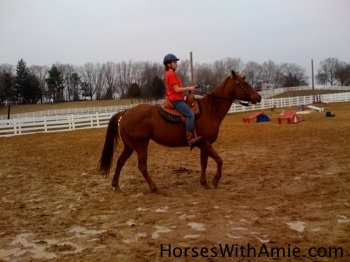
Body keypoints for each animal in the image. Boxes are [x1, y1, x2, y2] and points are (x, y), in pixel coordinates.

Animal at [98, 69, 260, 192]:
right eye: (244, 83)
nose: (258, 97)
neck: (210, 109)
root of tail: (126, 112)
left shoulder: (203, 144)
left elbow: (204, 163)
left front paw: (204, 183)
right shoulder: (206, 143)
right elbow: (219, 160)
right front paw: (214, 181)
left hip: (129, 146)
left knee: (120, 161)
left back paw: (116, 186)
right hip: (141, 145)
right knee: (142, 166)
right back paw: (154, 188)